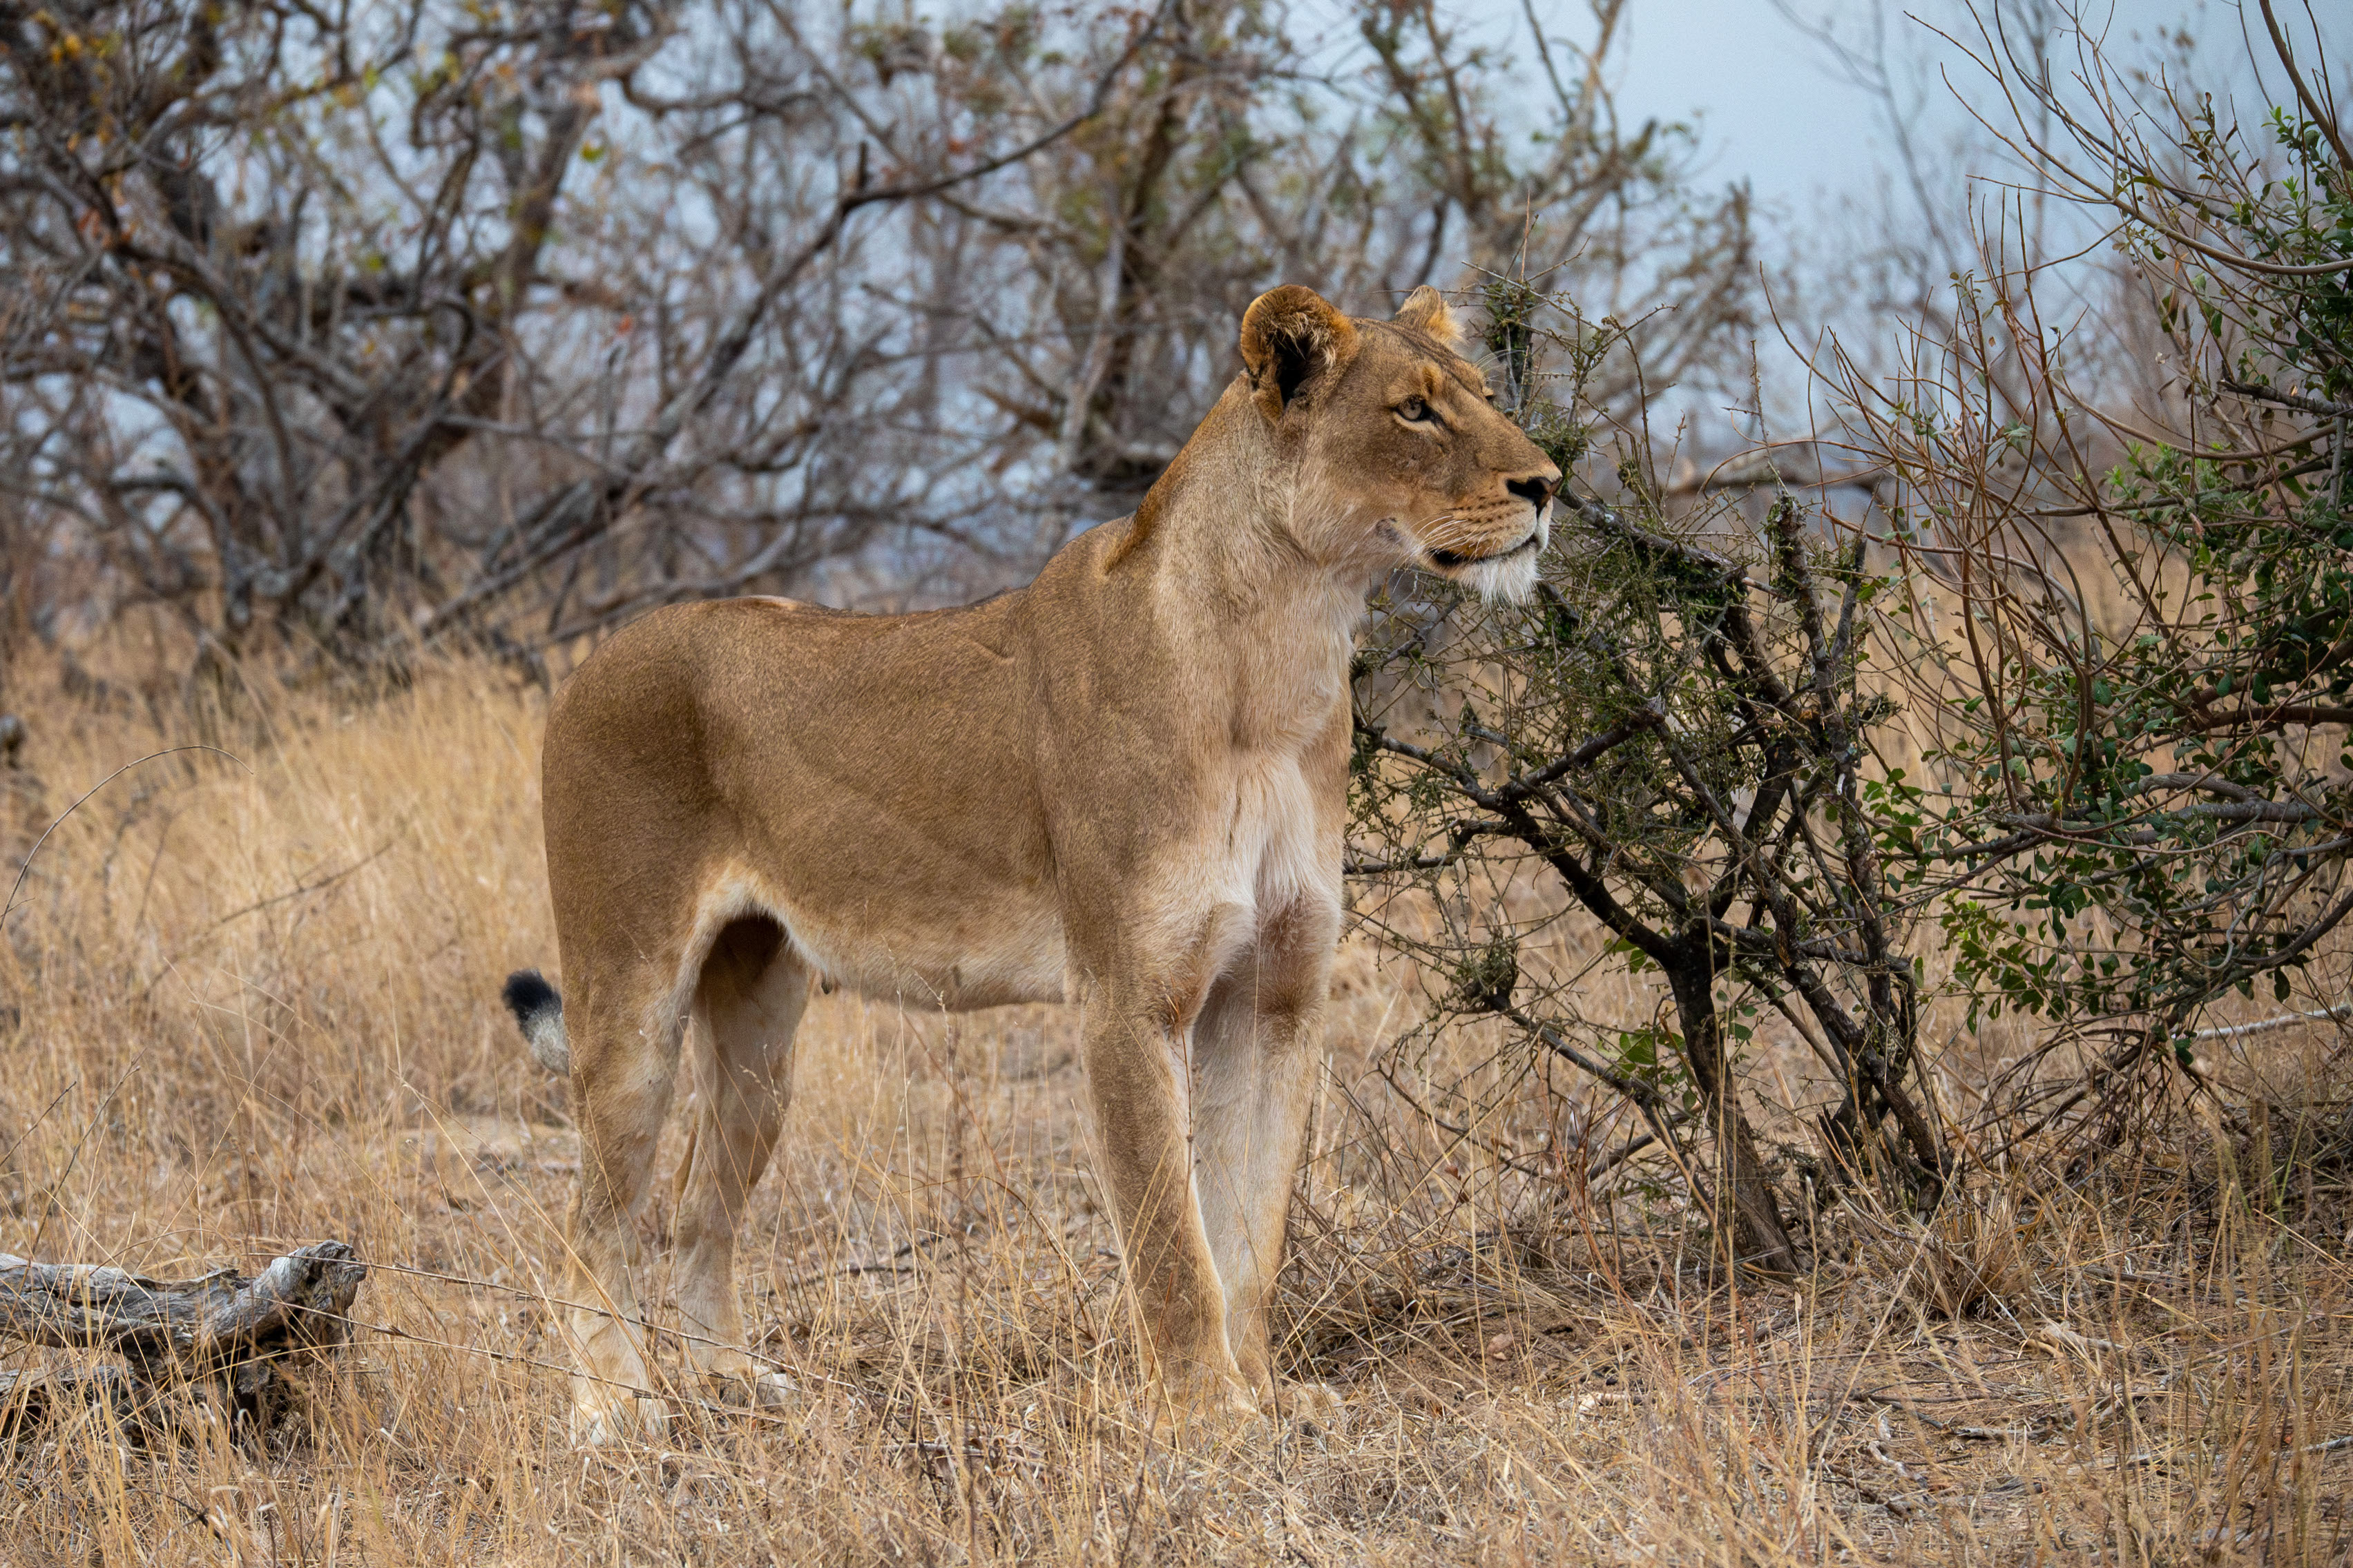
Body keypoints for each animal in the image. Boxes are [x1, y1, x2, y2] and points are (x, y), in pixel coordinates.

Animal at [503, 283, 1560, 1444]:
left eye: (1480, 394)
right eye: (1411, 410)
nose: (1547, 484)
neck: (1283, 654)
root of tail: (592, 659)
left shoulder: (1276, 995)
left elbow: (1250, 1232)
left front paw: (1268, 1394)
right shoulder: (1125, 999)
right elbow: (1171, 1237)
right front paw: (1208, 1416)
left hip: (758, 1034)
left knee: (699, 1205)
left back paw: (733, 1380)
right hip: (631, 995)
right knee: (593, 1222)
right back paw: (615, 1411)